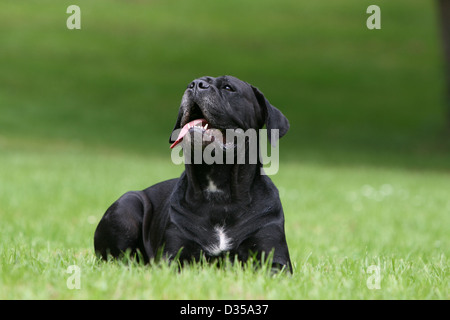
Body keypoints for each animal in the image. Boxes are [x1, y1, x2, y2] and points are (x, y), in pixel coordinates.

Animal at [94, 75, 292, 272]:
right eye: (194, 82)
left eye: (228, 88)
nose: (196, 85)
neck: (219, 194)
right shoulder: (173, 257)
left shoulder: (275, 259)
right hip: (126, 207)